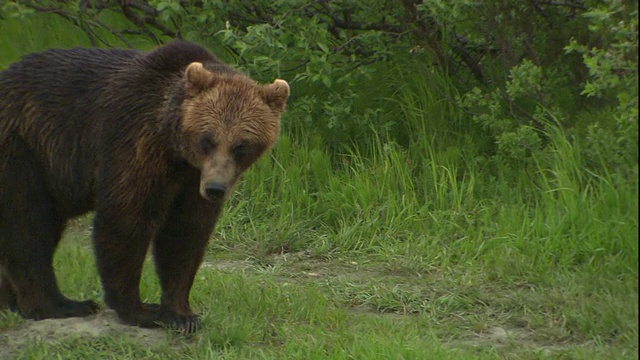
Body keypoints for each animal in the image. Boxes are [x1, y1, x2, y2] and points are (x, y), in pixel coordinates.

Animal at [0, 40, 290, 334]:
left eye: (241, 145)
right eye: (208, 139)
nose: (215, 189)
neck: (174, 148)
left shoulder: (191, 181)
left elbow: (185, 234)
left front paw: (182, 313)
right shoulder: (135, 143)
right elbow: (127, 219)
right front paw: (141, 310)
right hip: (24, 150)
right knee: (28, 225)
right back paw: (58, 304)